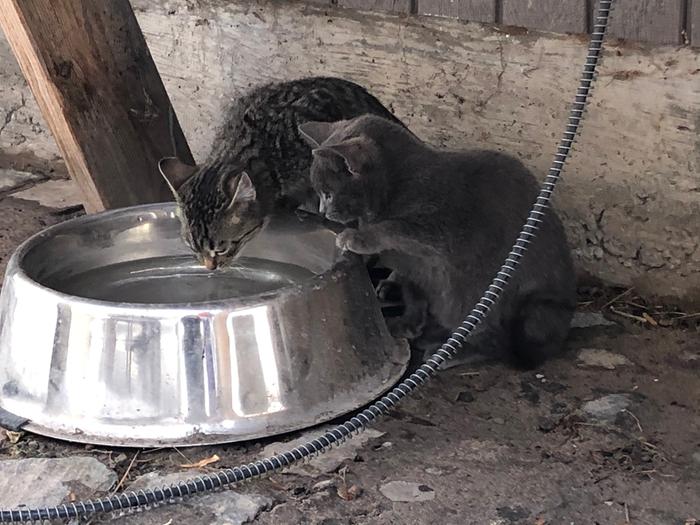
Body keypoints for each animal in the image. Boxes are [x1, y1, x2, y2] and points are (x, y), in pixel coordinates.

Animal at [298, 114, 576, 368]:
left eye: (328, 194)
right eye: (321, 194)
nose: (322, 211)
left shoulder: (438, 229)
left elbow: (392, 227)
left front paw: (357, 237)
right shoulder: (415, 267)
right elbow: (414, 292)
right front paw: (408, 323)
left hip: (482, 291)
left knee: (492, 340)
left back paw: (449, 351)